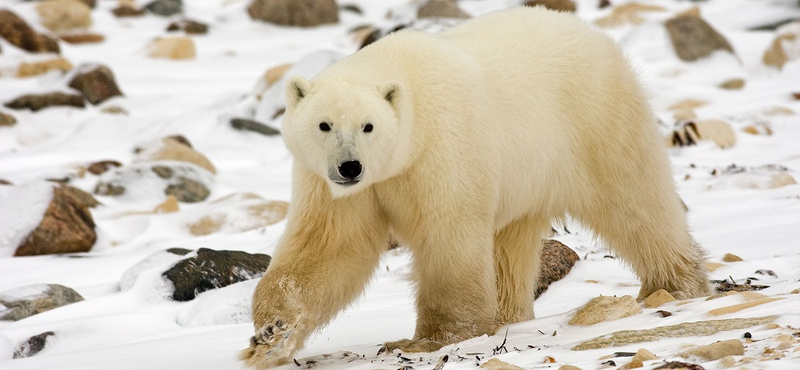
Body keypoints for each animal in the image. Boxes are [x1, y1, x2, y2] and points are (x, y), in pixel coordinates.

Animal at [241, 6, 708, 370]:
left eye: (368, 125)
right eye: (324, 124)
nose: (349, 166)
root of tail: (594, 37)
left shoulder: (442, 150)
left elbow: (449, 239)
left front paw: (429, 340)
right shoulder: (333, 187)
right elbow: (329, 249)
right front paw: (270, 334)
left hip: (595, 120)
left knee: (635, 200)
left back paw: (675, 284)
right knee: (510, 244)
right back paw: (509, 314)